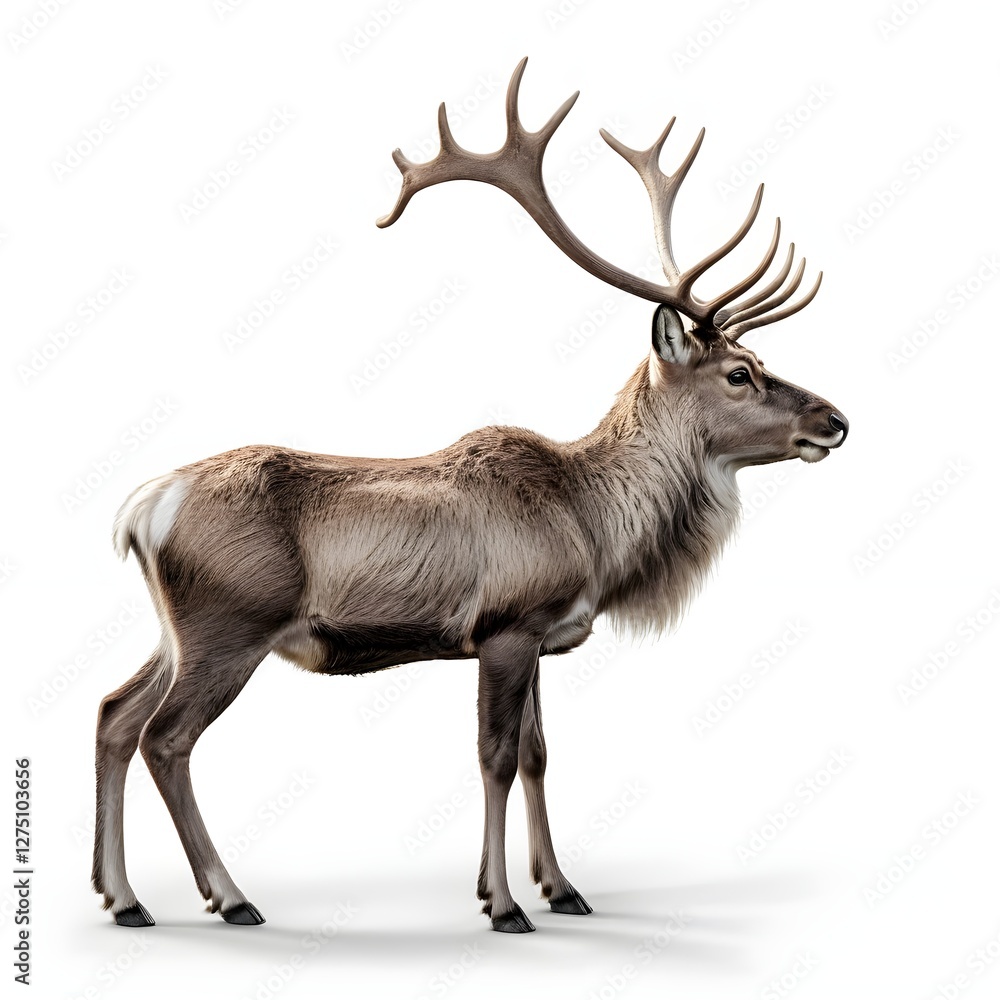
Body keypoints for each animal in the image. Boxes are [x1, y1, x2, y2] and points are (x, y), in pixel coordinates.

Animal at [93, 58, 847, 934]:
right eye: (740, 373)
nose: (836, 421)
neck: (597, 529)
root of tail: (140, 510)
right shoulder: (506, 626)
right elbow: (494, 758)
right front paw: (504, 904)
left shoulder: (544, 635)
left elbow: (539, 755)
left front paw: (562, 888)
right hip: (230, 623)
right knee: (166, 737)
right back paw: (229, 895)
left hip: (174, 629)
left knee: (114, 713)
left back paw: (124, 896)